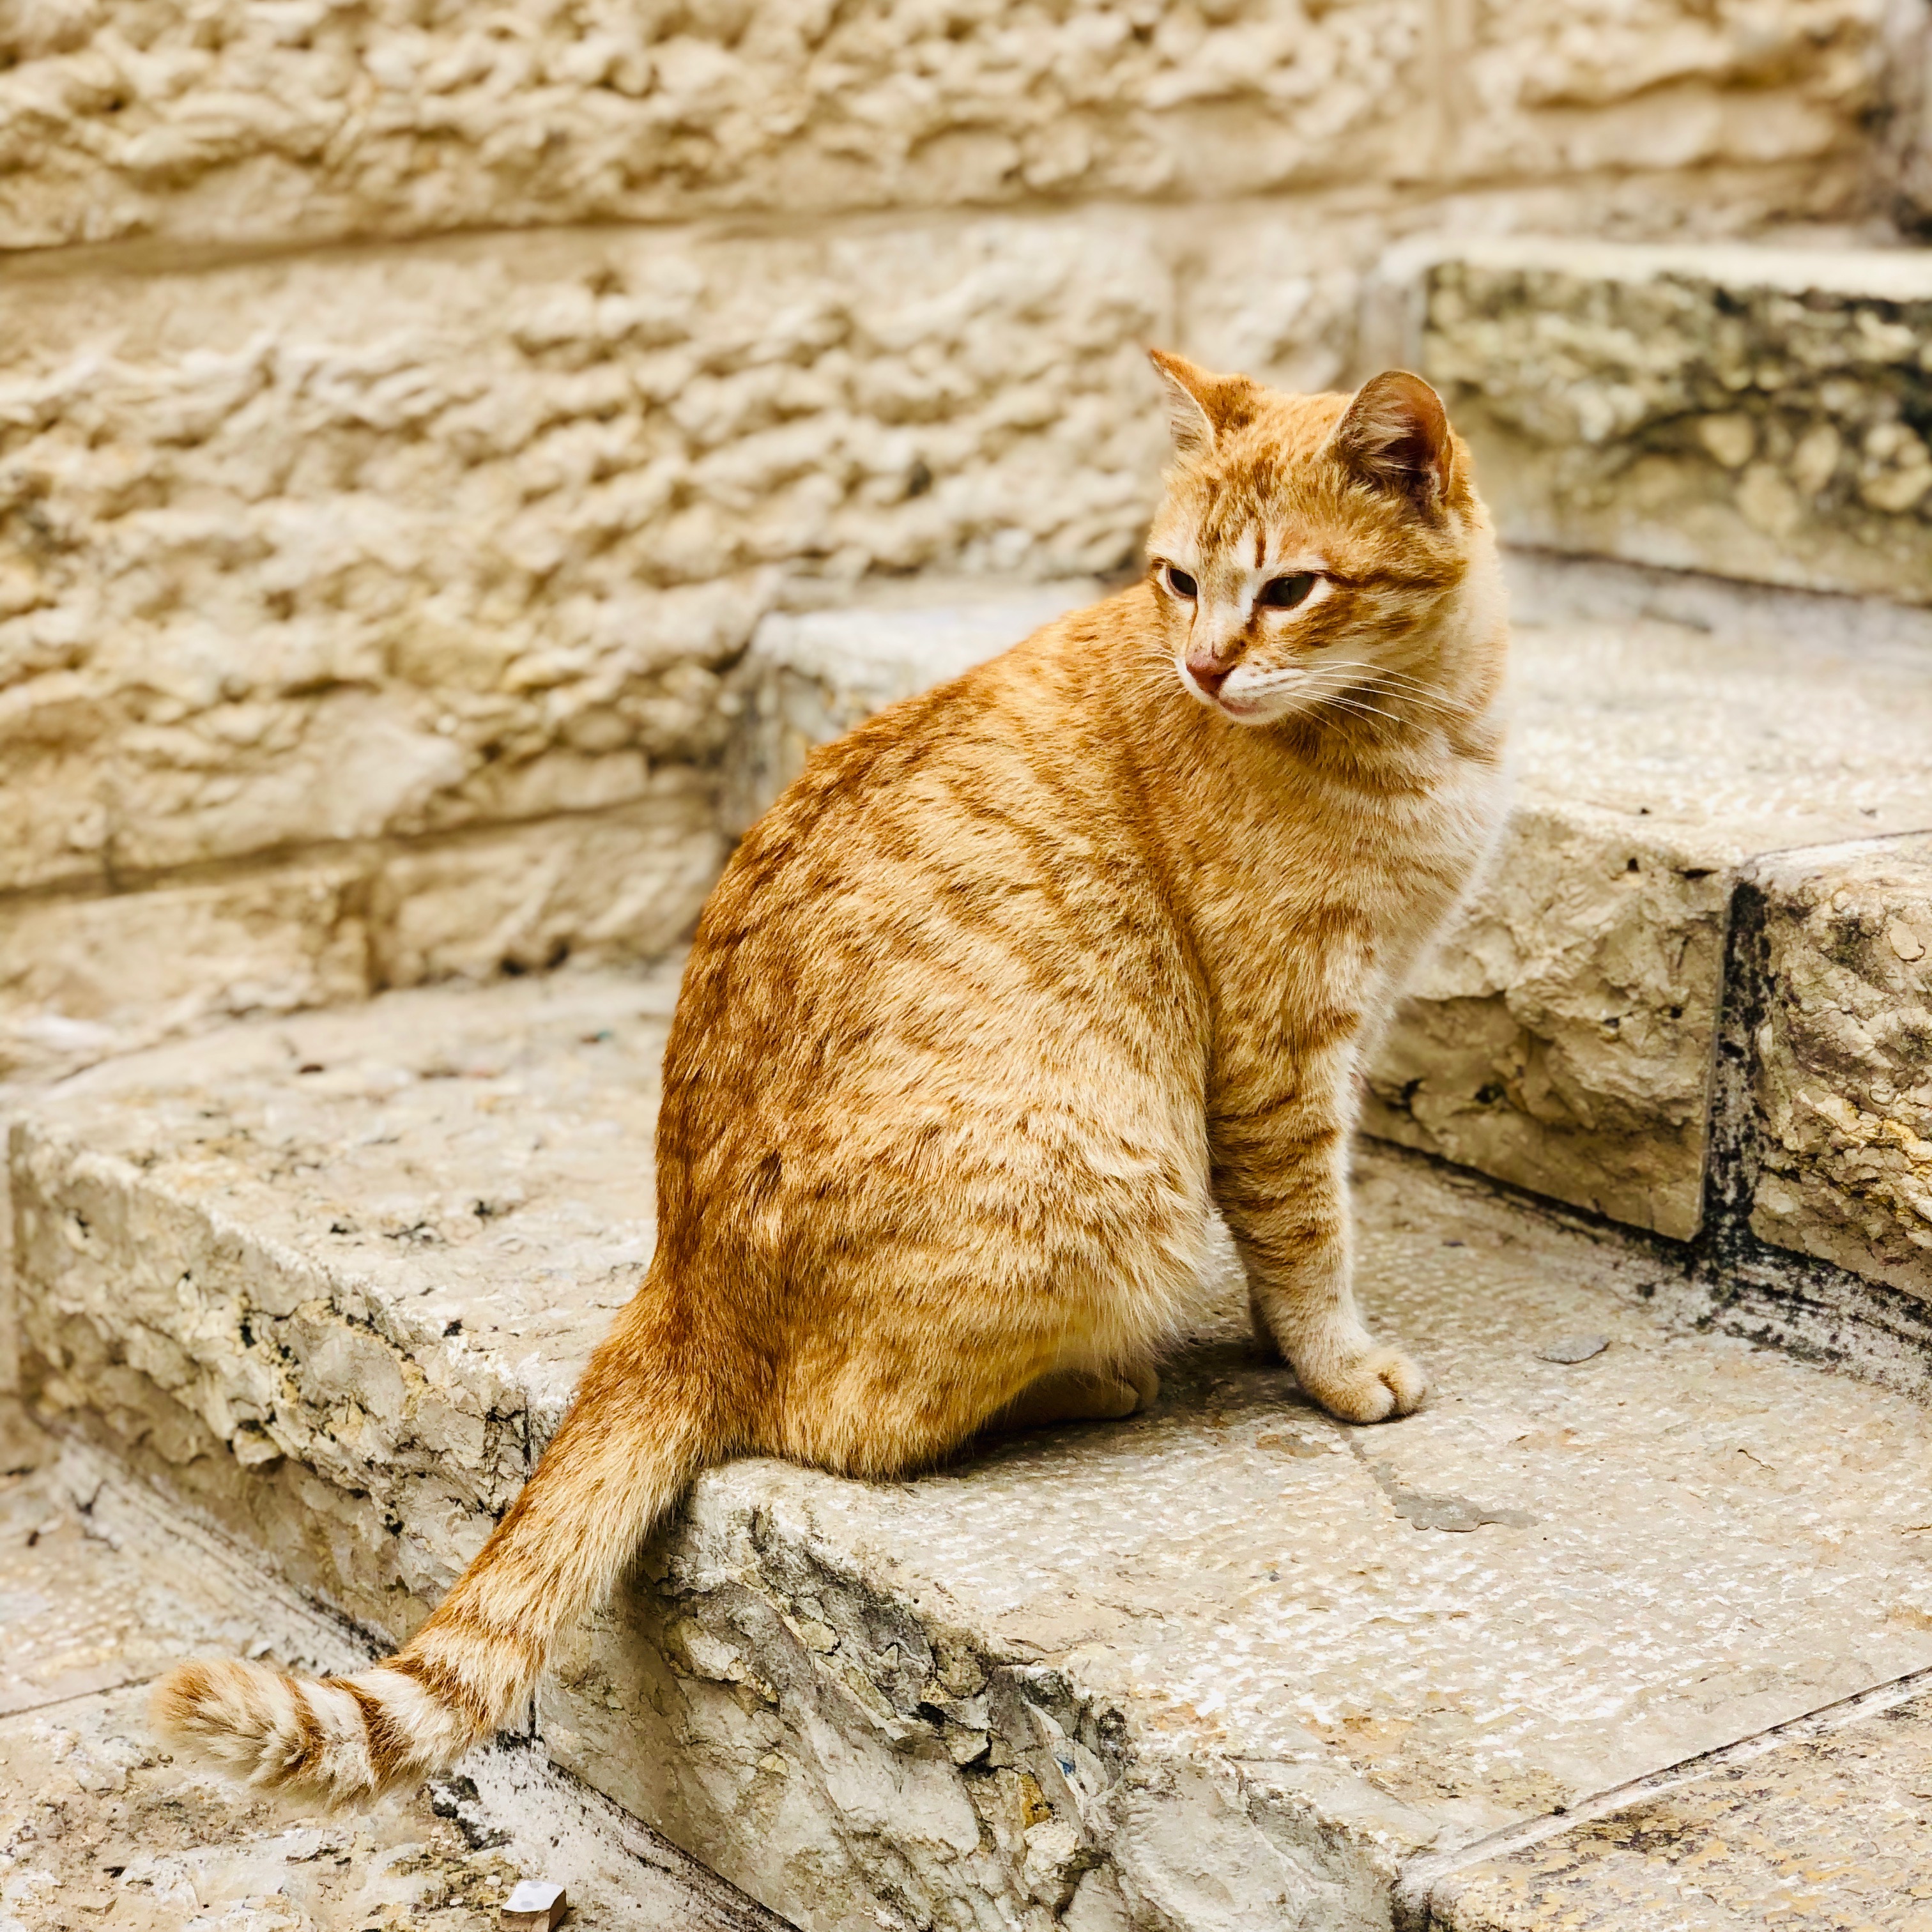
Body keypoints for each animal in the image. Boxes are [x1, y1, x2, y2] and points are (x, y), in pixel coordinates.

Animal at [150, 359, 1506, 1793]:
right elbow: (1306, 1236)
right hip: (1113, 1177)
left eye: (1286, 589)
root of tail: (676, 1281)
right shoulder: (1281, 1054)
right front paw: (1337, 1366)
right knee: (848, 1427)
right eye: (1178, 579)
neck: (1427, 721)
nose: (1203, 662)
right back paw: (1095, 1379)